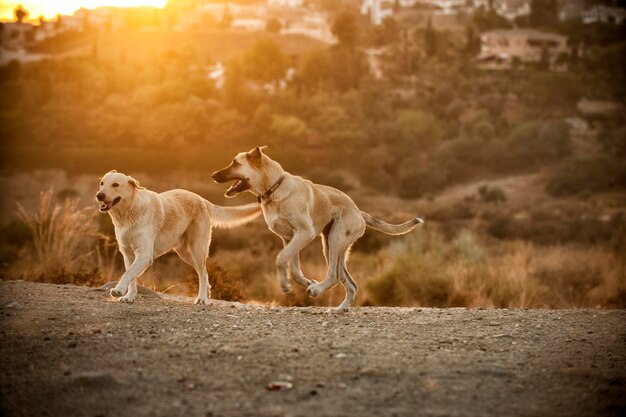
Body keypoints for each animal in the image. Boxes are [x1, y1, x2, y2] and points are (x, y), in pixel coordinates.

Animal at [94, 171, 260, 304]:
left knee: (203, 274)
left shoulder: (144, 255)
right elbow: (131, 277)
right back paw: (207, 294)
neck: (127, 213)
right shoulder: (128, 255)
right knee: (204, 274)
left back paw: (202, 299)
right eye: (101, 183)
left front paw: (118, 290)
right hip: (185, 254)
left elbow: (127, 274)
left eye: (115, 184)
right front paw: (129, 297)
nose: (99, 195)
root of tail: (201, 199)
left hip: (197, 250)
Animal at [211, 147, 424, 312]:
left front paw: (287, 285)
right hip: (331, 245)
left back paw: (318, 291)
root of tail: (359, 212)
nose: (212, 175)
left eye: (235, 163)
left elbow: (280, 259)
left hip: (335, 239)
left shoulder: (304, 233)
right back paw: (339, 309)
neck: (274, 189)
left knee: (334, 276)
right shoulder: (289, 238)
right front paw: (305, 282)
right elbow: (294, 269)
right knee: (349, 283)